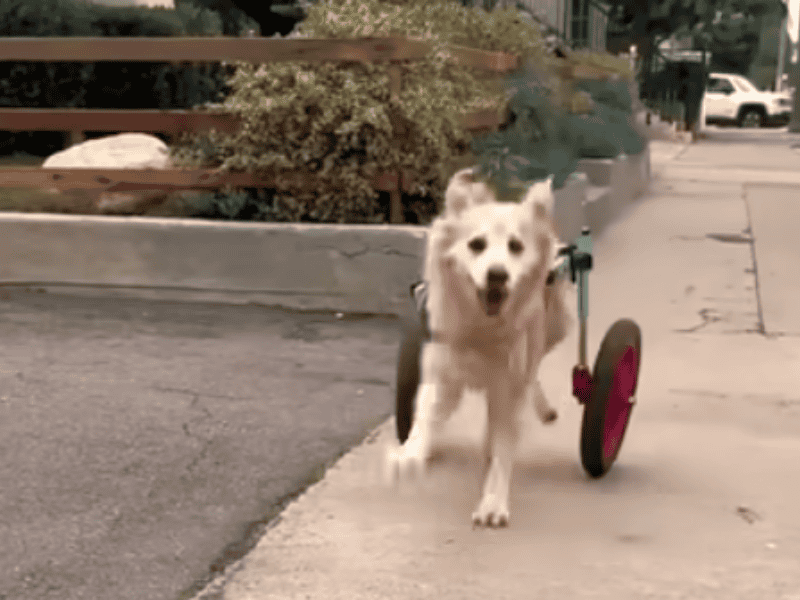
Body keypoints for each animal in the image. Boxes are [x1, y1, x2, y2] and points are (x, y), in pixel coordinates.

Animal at [386, 166, 568, 528]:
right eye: (476, 244)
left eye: (515, 246)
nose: (497, 275)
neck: (482, 328)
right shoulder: (442, 374)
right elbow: (424, 417)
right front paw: (410, 455)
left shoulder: (510, 385)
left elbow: (503, 448)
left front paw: (493, 501)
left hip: (552, 332)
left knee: (533, 374)